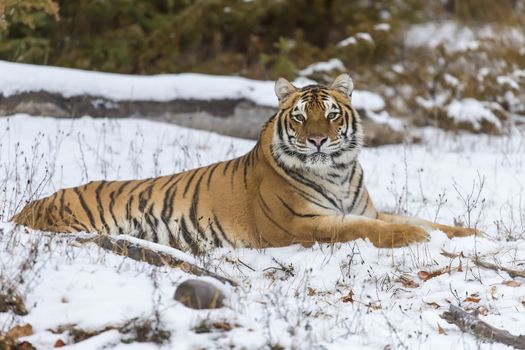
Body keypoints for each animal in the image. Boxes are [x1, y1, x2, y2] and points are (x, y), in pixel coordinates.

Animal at [10, 74, 476, 254]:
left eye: (332, 114)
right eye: (300, 117)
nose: (318, 140)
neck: (338, 171)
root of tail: (26, 208)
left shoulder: (367, 208)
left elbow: (427, 219)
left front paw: (474, 234)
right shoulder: (300, 224)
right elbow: (365, 229)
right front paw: (413, 236)